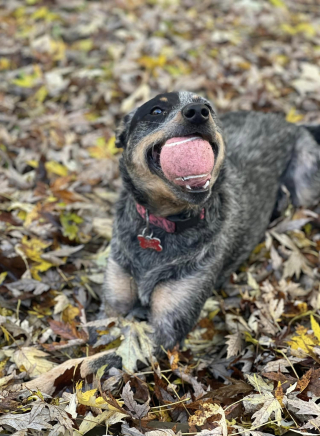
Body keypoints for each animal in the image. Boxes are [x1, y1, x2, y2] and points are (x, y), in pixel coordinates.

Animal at [101, 91, 320, 354]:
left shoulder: (167, 322)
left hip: (305, 187)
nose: (197, 112)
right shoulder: (114, 304)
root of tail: (291, 124)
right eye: (156, 111)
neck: (163, 222)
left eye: (207, 107)